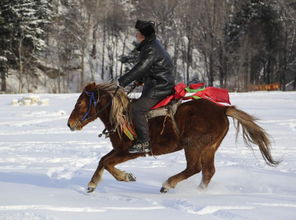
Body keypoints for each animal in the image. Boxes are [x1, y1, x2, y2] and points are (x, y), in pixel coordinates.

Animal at [67, 82, 280, 192]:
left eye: (80, 103)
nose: (69, 124)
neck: (121, 116)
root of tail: (222, 110)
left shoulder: (130, 151)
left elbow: (107, 163)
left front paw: (126, 177)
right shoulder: (119, 149)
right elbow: (103, 160)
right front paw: (93, 183)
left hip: (193, 145)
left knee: (194, 168)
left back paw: (168, 184)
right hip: (209, 148)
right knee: (208, 171)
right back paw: (199, 190)